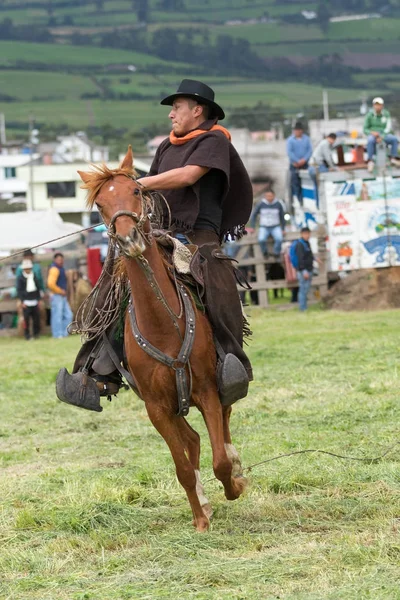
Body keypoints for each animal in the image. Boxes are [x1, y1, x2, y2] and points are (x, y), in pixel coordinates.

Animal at [77, 148, 247, 532]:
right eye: (100, 205)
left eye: (136, 191)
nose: (129, 239)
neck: (162, 324)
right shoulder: (156, 407)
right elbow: (182, 465)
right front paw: (200, 518)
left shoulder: (206, 390)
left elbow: (219, 459)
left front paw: (234, 484)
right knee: (192, 440)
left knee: (225, 418)